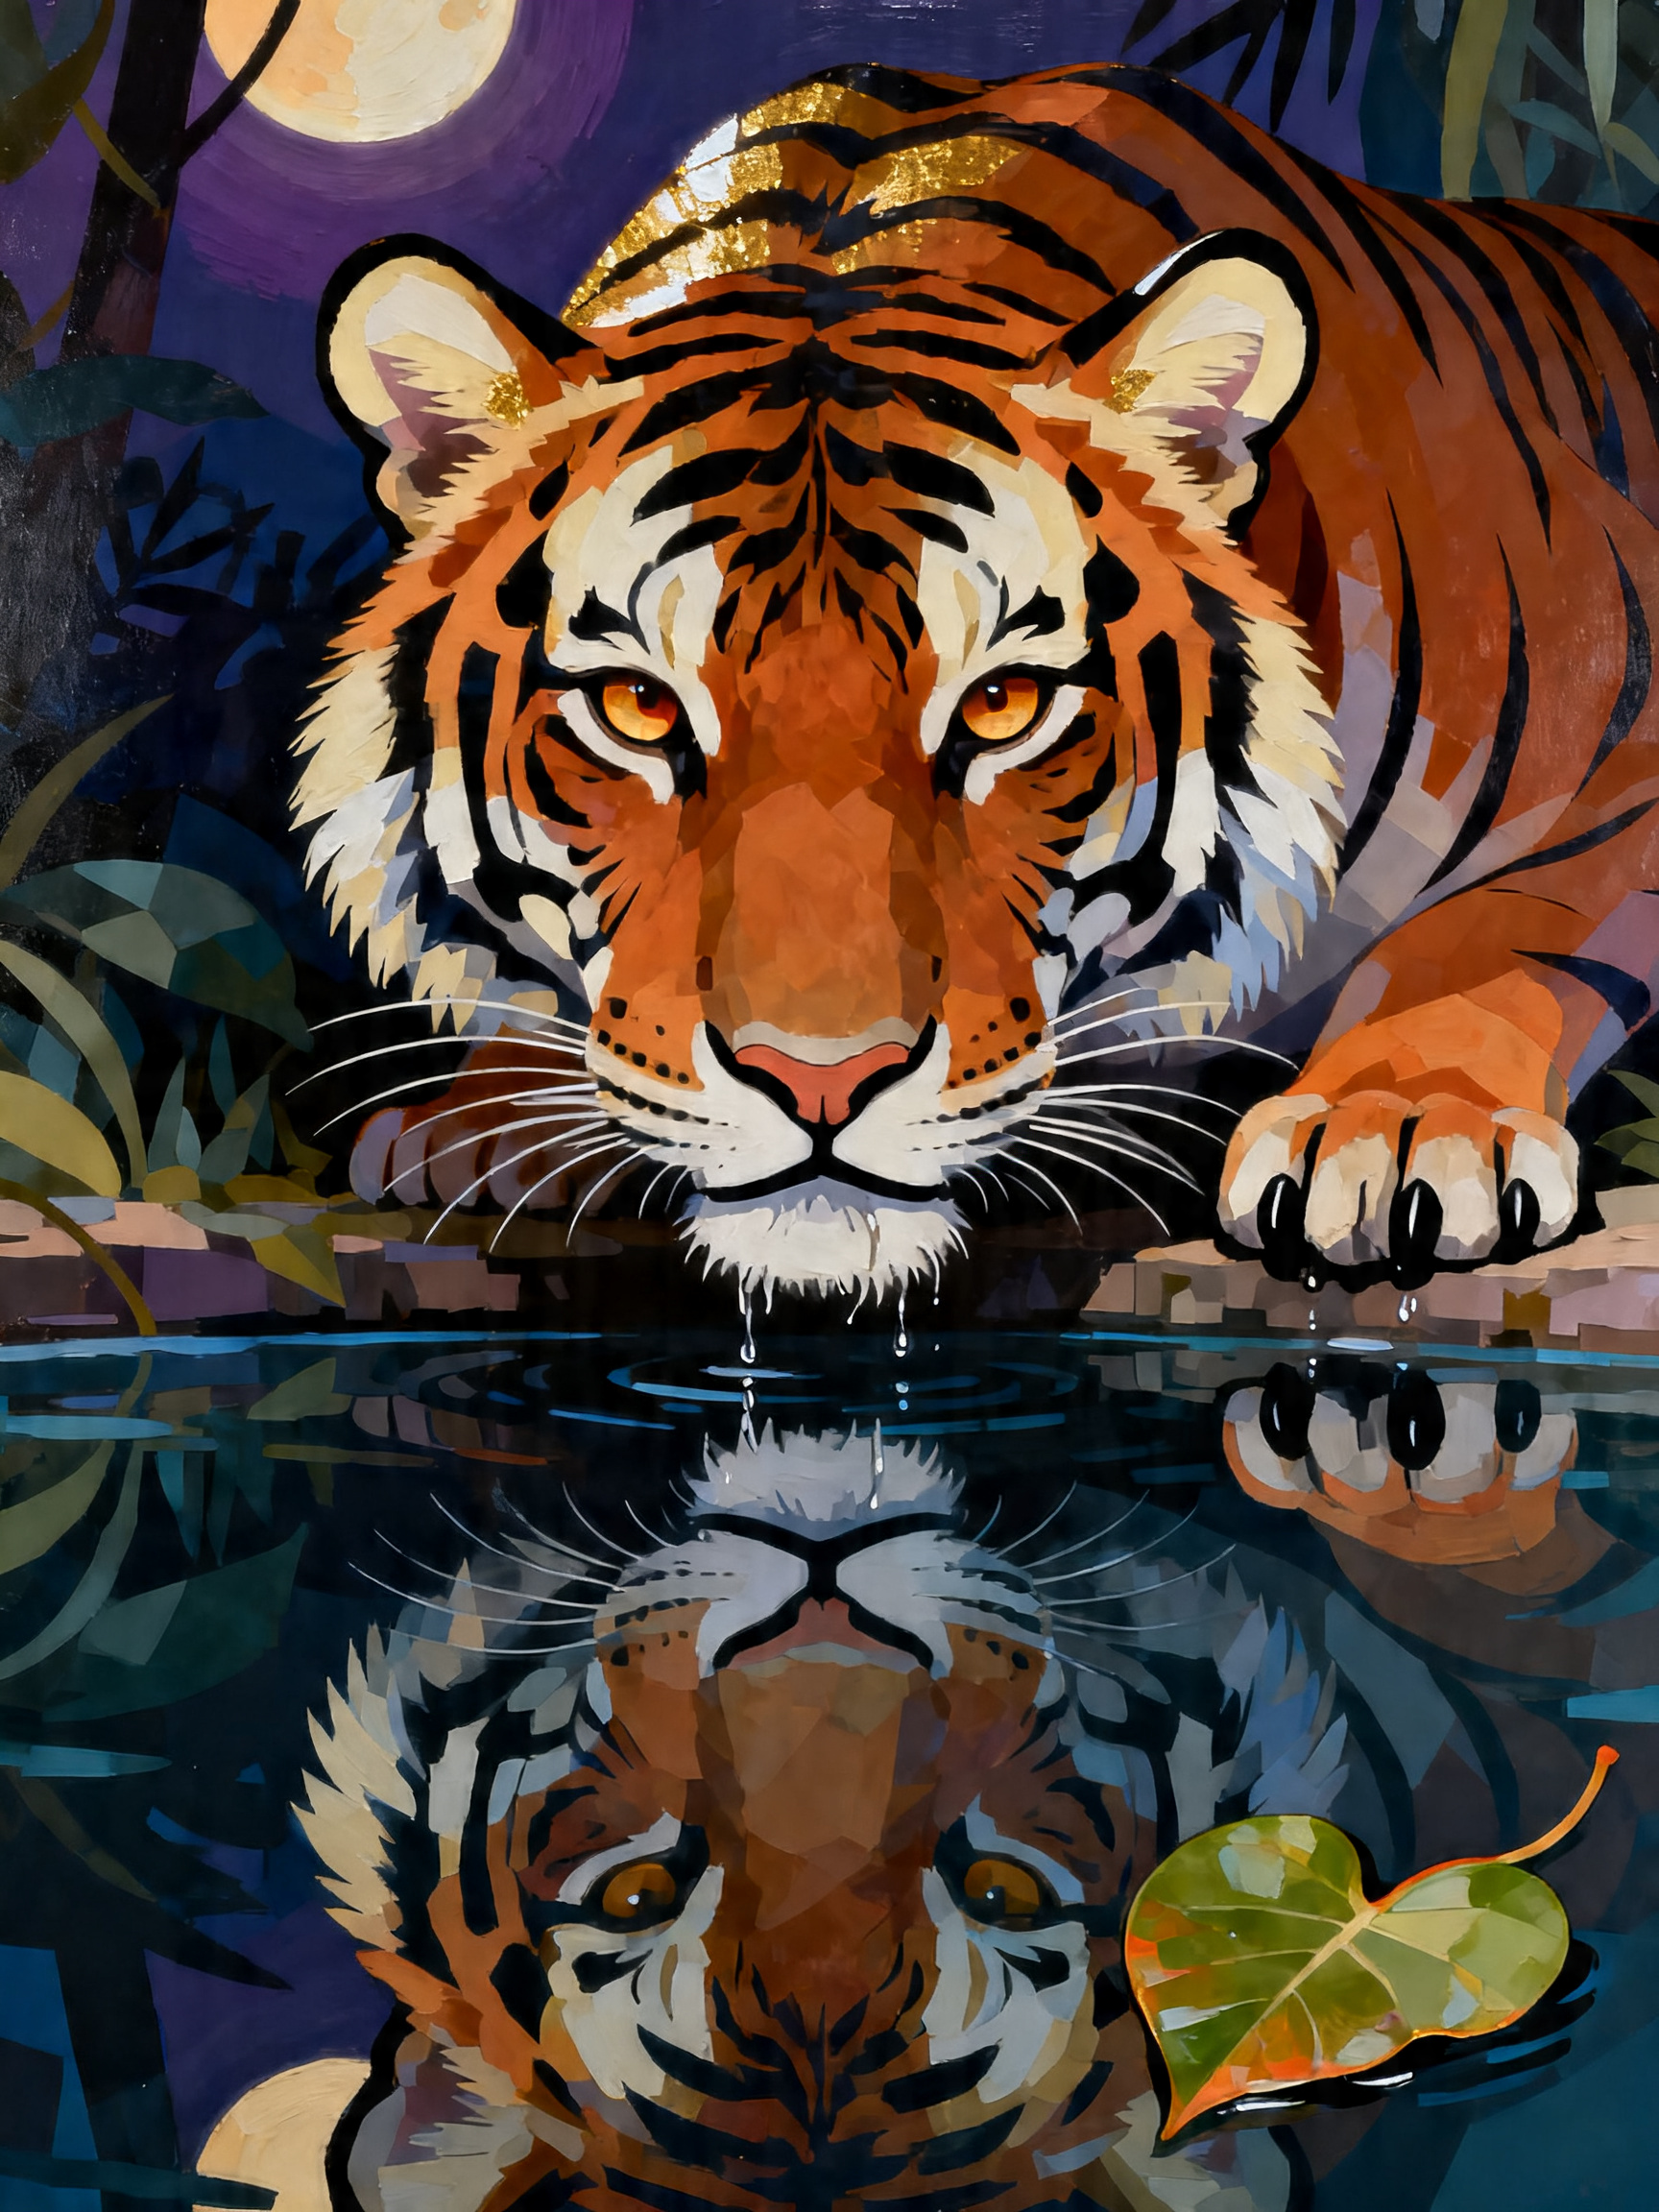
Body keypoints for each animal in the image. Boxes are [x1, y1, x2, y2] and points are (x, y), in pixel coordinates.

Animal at [292, 61, 1659, 1304]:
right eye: (638, 706)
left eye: (1003, 706)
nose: (821, 1083)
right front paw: (481, 1117)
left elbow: (1490, 928)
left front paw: (1393, 1126)